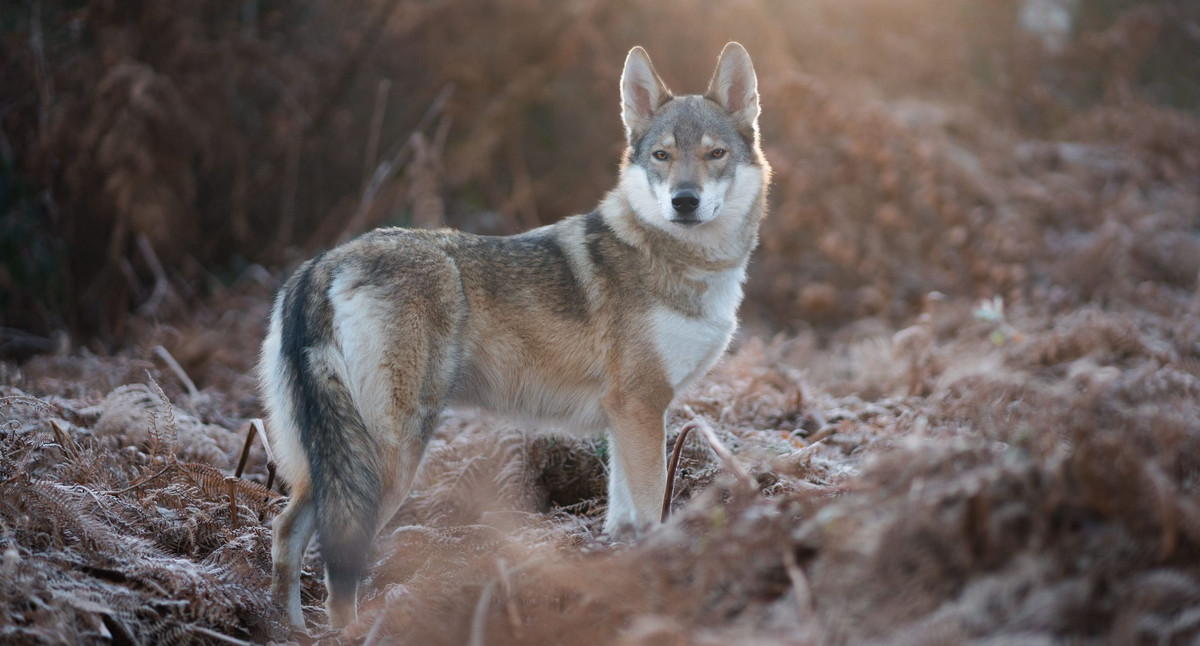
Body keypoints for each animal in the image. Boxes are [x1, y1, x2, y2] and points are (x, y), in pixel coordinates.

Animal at [259, 41, 771, 630]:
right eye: (662, 156)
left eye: (715, 154)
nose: (684, 201)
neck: (683, 263)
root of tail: (324, 262)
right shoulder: (642, 407)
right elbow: (650, 511)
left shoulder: (624, 419)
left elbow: (622, 519)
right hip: (389, 461)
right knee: (336, 556)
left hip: (328, 461)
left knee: (285, 532)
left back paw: (291, 631)